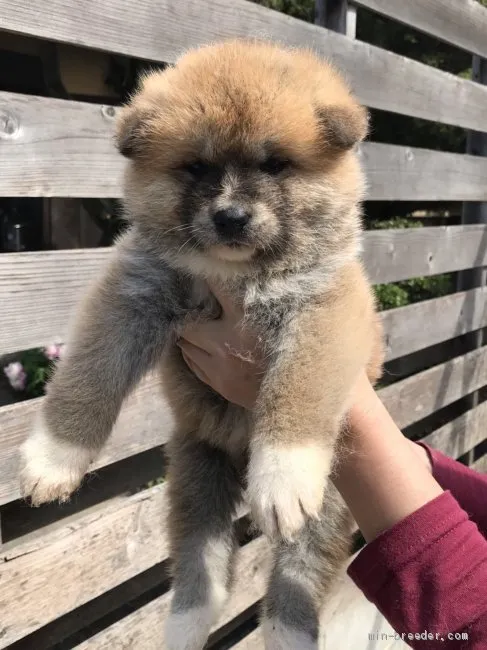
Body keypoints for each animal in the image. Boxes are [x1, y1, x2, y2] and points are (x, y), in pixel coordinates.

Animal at [21, 41, 384, 648]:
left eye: (275, 164)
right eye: (196, 166)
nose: (231, 216)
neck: (236, 278)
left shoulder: (325, 311)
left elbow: (297, 390)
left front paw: (281, 475)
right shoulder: (133, 295)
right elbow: (87, 377)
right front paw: (54, 458)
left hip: (332, 500)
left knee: (299, 577)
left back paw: (287, 631)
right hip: (196, 474)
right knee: (202, 570)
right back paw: (183, 626)